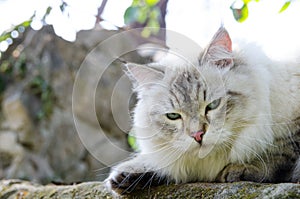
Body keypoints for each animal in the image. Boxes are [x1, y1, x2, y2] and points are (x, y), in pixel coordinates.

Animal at [105, 26, 300, 194]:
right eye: (173, 116)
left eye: (212, 105)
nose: (198, 135)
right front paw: (125, 175)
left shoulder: (290, 125)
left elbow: (281, 152)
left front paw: (243, 168)